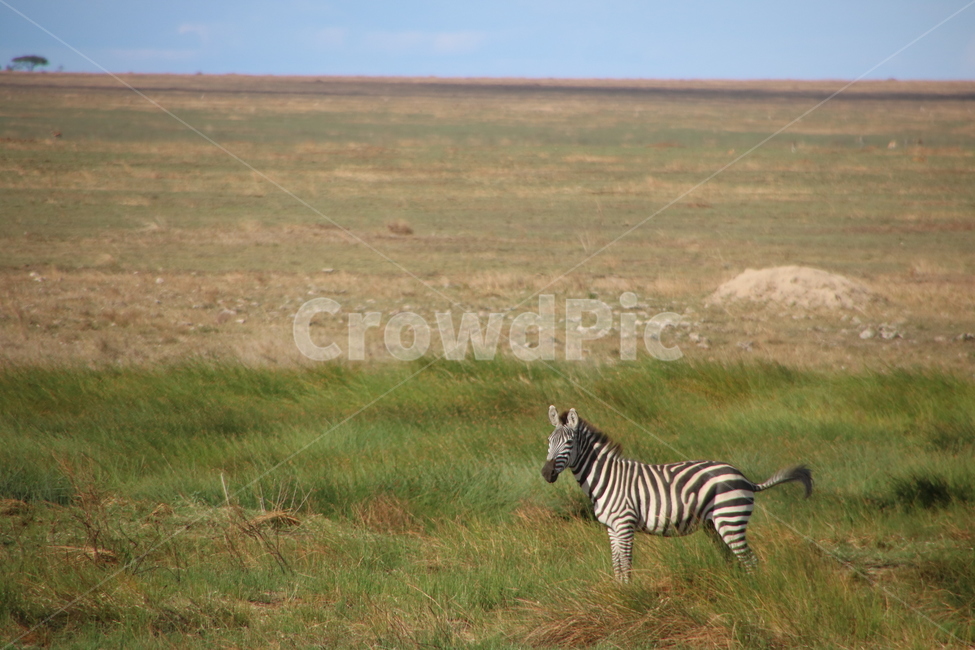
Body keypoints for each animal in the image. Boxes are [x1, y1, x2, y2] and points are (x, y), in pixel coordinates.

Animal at [541, 405, 812, 582]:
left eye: (568, 443)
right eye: (548, 441)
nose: (546, 473)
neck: (607, 478)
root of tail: (744, 477)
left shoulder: (624, 524)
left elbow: (626, 565)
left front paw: (629, 597)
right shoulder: (611, 527)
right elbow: (617, 565)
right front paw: (618, 593)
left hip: (731, 518)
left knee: (750, 561)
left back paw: (752, 593)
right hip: (714, 525)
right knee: (735, 560)